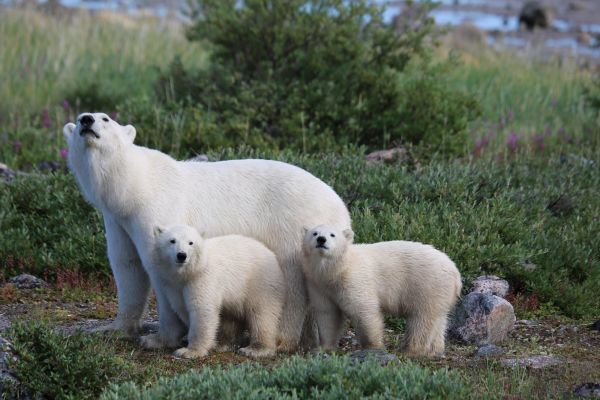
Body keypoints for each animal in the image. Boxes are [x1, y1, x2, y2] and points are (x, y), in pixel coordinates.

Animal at [63, 112, 350, 350]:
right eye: (78, 118)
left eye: (105, 118)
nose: (87, 120)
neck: (134, 186)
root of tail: (341, 208)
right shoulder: (118, 221)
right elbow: (128, 266)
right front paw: (113, 329)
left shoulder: (157, 211)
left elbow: (159, 268)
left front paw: (158, 339)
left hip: (293, 227)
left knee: (291, 282)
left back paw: (280, 339)